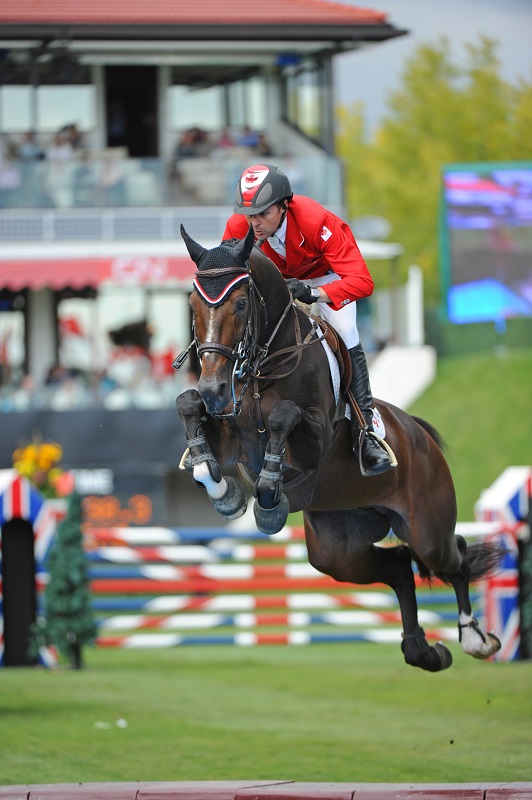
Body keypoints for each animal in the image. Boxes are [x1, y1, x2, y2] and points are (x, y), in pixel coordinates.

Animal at [174, 225, 503, 672]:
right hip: (337, 547)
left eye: (241, 304)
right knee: (398, 568)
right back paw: (423, 651)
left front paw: (269, 495)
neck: (265, 365)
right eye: (192, 304)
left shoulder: (313, 440)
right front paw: (222, 489)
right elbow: (188, 407)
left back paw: (474, 639)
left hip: (427, 526)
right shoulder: (229, 436)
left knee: (453, 557)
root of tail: (418, 434)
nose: (214, 388)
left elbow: (283, 418)